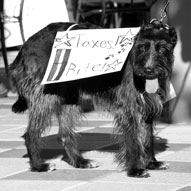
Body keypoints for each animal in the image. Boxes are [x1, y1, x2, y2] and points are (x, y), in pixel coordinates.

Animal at [8, 20, 176, 177]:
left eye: (163, 48)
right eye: (141, 47)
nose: (148, 70)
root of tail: (27, 44)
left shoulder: (148, 107)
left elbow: (147, 137)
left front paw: (151, 163)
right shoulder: (128, 109)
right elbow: (134, 139)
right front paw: (135, 169)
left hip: (69, 99)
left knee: (65, 134)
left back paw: (80, 162)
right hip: (46, 98)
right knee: (31, 134)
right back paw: (39, 166)